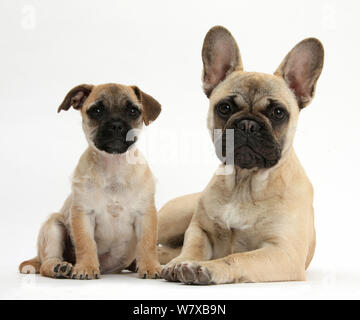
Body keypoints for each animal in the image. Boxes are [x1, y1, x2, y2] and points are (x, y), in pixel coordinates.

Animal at [18, 83, 162, 280]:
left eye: (133, 111)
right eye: (97, 110)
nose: (116, 125)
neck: (113, 166)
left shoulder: (145, 215)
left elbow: (147, 244)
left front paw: (150, 266)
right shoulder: (83, 216)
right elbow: (86, 243)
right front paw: (86, 267)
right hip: (54, 226)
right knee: (46, 263)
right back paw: (59, 268)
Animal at [160, 26, 324, 284]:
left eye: (278, 113)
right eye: (225, 108)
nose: (248, 125)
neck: (244, 185)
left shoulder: (283, 252)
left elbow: (238, 258)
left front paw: (208, 268)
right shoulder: (199, 229)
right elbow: (193, 246)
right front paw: (182, 262)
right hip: (171, 220)